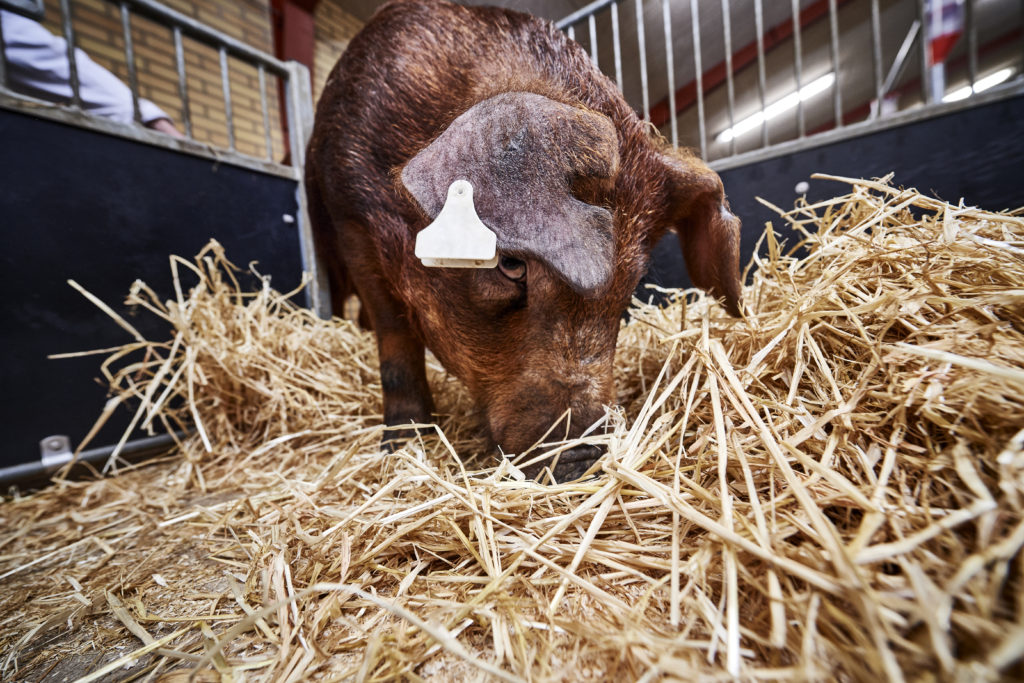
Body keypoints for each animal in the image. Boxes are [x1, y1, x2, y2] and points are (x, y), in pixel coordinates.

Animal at [305, 0, 742, 482]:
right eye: (511, 265)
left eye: (630, 280)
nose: (584, 458)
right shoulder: (352, 220)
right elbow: (395, 336)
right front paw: (401, 446)